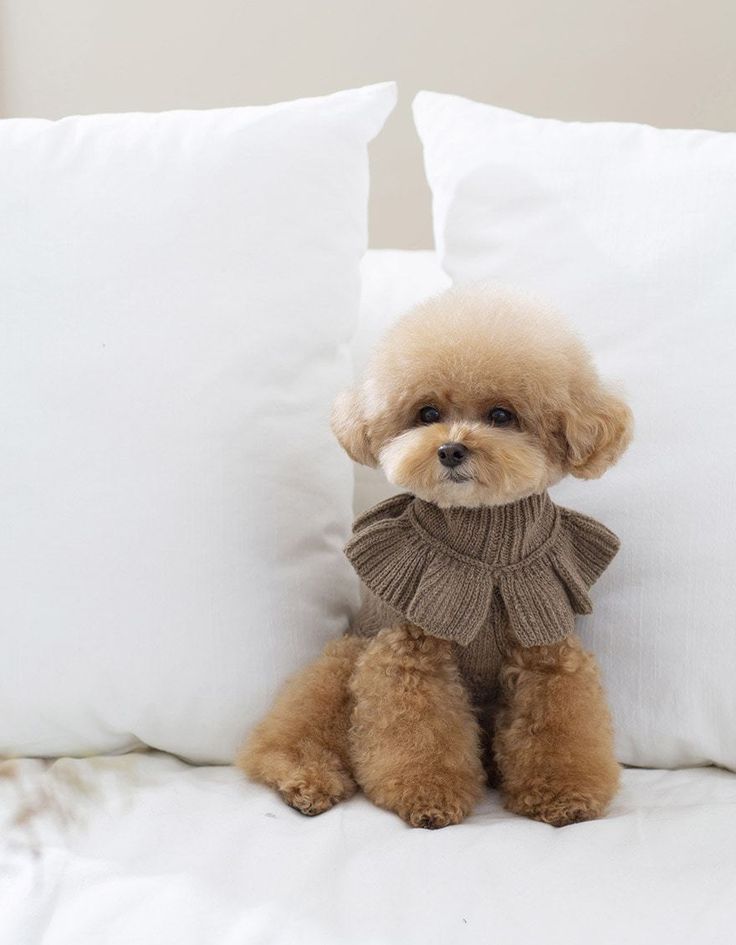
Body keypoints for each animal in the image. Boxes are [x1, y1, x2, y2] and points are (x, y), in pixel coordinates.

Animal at [237, 286, 632, 824]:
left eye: (501, 415)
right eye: (427, 414)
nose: (449, 450)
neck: (486, 548)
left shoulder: (547, 653)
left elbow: (559, 724)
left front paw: (564, 795)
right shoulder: (410, 651)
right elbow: (420, 731)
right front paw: (429, 795)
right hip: (344, 658)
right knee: (289, 734)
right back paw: (306, 781)